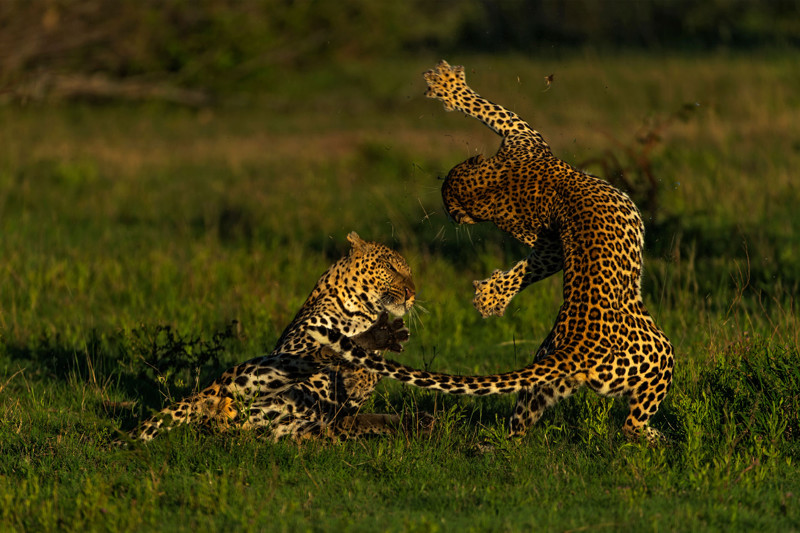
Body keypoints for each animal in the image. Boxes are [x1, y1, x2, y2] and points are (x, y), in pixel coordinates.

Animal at [119, 231, 428, 442]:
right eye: (391, 267)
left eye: (410, 273)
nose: (412, 293)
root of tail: (206, 397)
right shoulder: (297, 344)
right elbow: (330, 350)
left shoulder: (346, 408)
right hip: (250, 381)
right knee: (316, 357)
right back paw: (377, 337)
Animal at [310, 61, 672, 444]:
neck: (497, 183)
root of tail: (577, 349)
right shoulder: (525, 136)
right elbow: (489, 108)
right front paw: (449, 85)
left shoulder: (543, 227)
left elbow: (533, 261)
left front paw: (489, 297)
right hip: (660, 356)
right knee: (631, 424)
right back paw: (657, 439)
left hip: (544, 381)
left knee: (519, 421)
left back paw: (501, 446)